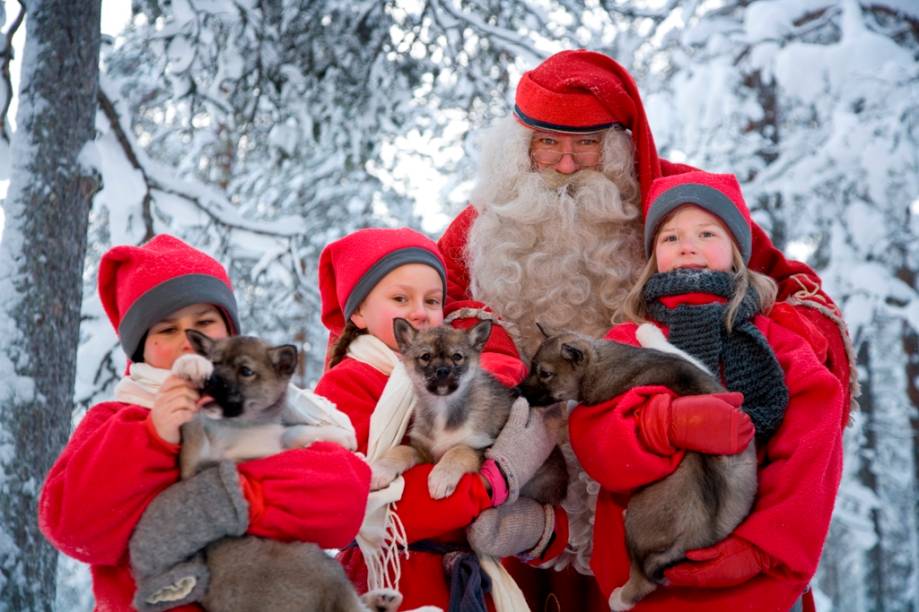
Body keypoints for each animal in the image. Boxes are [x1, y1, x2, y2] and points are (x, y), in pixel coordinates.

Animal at [173, 332, 402, 612]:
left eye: (246, 371)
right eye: (214, 363)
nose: (212, 380)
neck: (243, 424)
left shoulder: (270, 441)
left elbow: (292, 432)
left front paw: (342, 438)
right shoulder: (196, 461)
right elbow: (195, 422)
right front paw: (189, 366)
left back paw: (383, 598)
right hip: (318, 563)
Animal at [370, 318, 564, 504]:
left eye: (457, 356)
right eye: (426, 356)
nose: (442, 370)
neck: (443, 406)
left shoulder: (482, 447)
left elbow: (459, 451)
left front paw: (442, 477)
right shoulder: (423, 450)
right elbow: (400, 450)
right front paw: (380, 470)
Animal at [520, 326, 760, 608]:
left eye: (545, 373)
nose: (517, 390)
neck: (598, 360)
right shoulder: (690, 364)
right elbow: (677, 350)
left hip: (639, 529)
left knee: (643, 580)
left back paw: (619, 599)